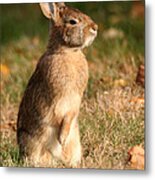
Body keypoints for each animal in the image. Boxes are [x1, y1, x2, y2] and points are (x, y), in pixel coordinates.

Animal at [16, 1, 97, 167]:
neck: (68, 52)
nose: (95, 27)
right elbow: (61, 117)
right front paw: (61, 139)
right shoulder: (60, 100)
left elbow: (70, 116)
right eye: (73, 21)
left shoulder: (74, 102)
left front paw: (62, 140)